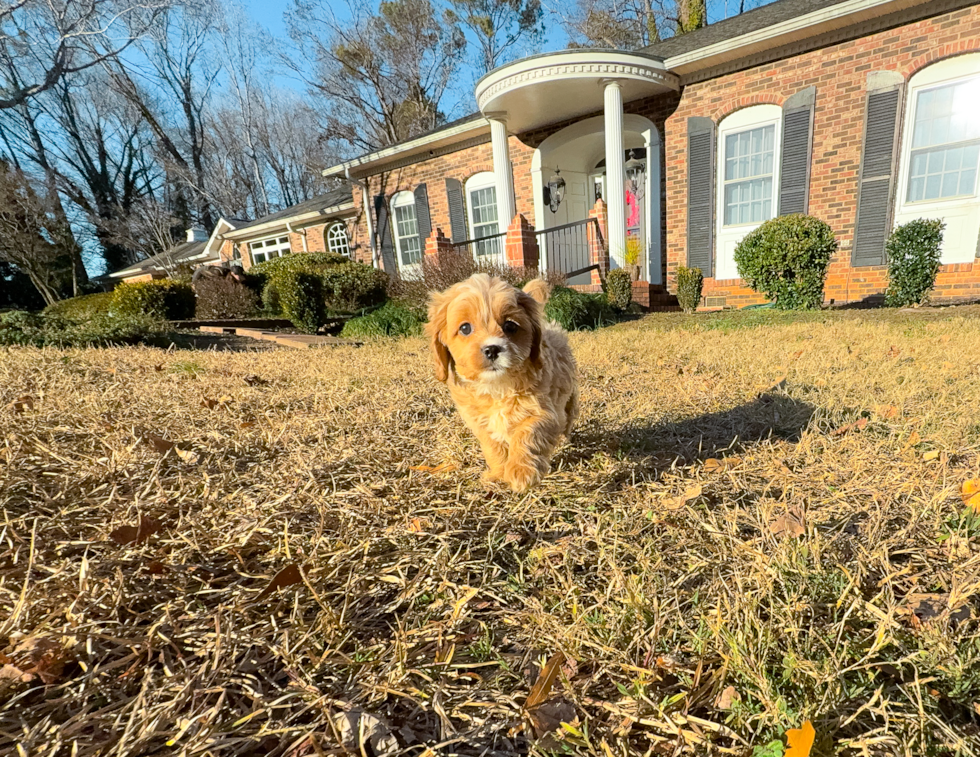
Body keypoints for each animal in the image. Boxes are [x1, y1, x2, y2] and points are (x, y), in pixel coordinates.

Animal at [424, 272, 580, 490]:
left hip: (569, 397)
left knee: (568, 417)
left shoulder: (546, 412)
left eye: (510, 326)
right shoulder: (480, 423)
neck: (497, 387)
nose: (492, 349)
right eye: (465, 328)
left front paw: (522, 472)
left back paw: (565, 439)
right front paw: (498, 474)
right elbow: (493, 447)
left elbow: (529, 432)